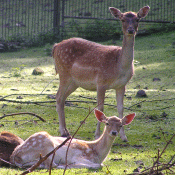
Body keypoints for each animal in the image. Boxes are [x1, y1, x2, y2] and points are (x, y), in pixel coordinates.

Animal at [52, 6, 150, 142]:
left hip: (74, 82)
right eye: (123, 19)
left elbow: (121, 108)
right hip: (63, 73)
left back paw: (66, 130)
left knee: (62, 98)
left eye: (137, 19)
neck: (119, 66)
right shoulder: (101, 82)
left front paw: (124, 137)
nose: (130, 30)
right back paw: (63, 132)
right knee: (58, 96)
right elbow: (100, 108)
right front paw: (97, 135)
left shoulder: (122, 85)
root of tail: (55, 46)